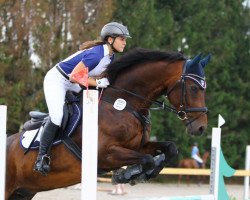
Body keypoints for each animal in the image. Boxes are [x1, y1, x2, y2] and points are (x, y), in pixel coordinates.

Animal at [5, 47, 211, 199]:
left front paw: (140, 174)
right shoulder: (105, 154)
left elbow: (169, 149)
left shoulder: (138, 145)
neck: (124, 104)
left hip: (23, 192)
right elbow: (147, 159)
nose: (201, 127)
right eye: (194, 88)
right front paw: (126, 175)